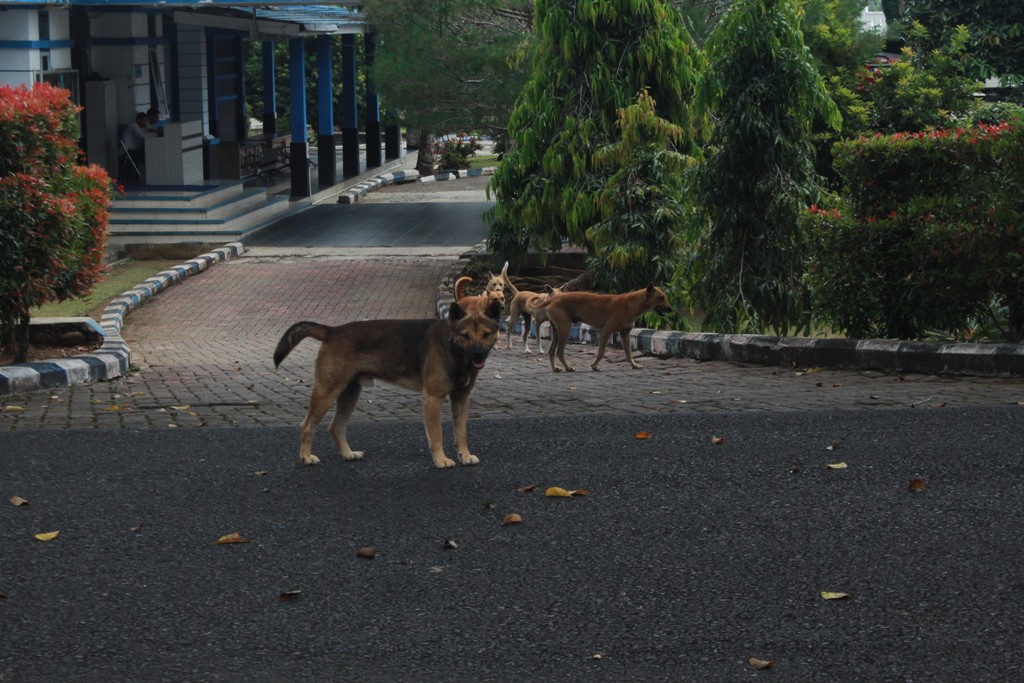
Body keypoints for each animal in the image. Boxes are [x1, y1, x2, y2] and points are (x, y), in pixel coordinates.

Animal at [274, 299, 501, 471]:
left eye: (486, 334)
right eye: (465, 336)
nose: (478, 355)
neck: (452, 348)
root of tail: (332, 330)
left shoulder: (461, 399)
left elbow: (461, 433)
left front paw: (465, 455)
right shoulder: (433, 398)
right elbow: (437, 434)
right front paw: (441, 460)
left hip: (350, 394)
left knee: (335, 427)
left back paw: (348, 454)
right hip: (327, 392)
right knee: (307, 426)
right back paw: (306, 457)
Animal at [540, 286, 675, 376]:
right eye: (661, 298)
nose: (671, 309)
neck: (632, 304)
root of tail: (554, 298)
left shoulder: (625, 334)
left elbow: (628, 353)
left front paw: (634, 365)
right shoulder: (606, 331)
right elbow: (601, 352)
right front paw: (594, 366)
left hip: (557, 331)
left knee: (551, 351)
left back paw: (555, 368)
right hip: (565, 329)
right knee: (559, 351)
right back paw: (568, 367)